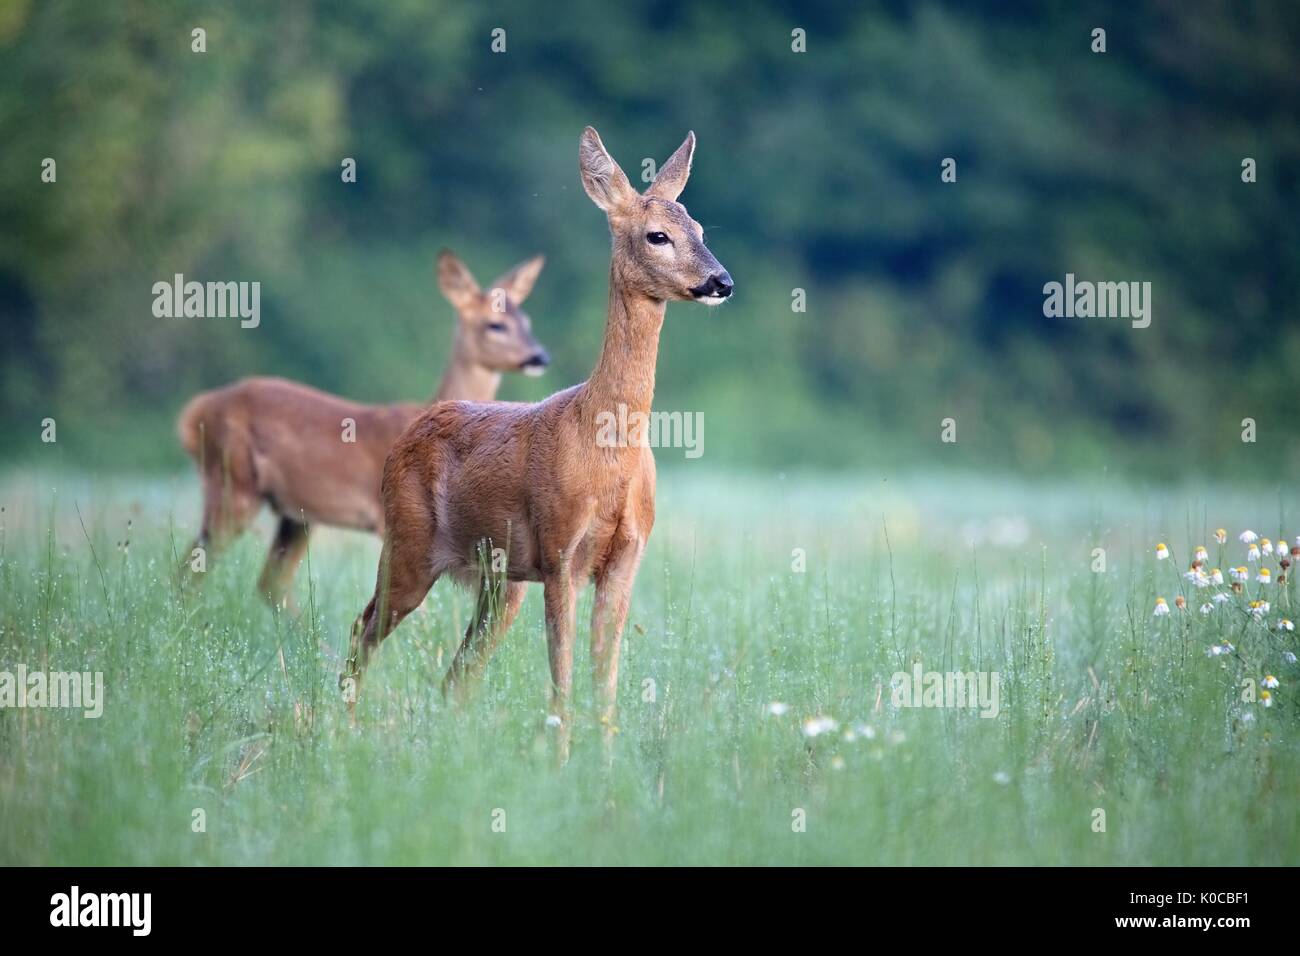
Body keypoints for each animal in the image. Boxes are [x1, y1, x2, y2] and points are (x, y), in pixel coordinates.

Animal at [176, 250, 550, 610]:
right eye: (495, 325)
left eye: (528, 321)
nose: (539, 357)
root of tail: (193, 414)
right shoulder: (386, 519)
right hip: (235, 481)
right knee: (193, 567)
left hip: (295, 513)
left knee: (270, 582)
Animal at [341, 127, 732, 762]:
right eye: (658, 234)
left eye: (700, 228)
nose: (721, 281)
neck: (608, 447)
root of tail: (414, 427)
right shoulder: (559, 550)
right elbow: (563, 674)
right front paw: (563, 760)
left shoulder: (627, 555)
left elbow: (605, 676)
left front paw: (606, 763)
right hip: (408, 544)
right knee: (364, 629)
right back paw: (338, 728)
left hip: (499, 582)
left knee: (455, 675)